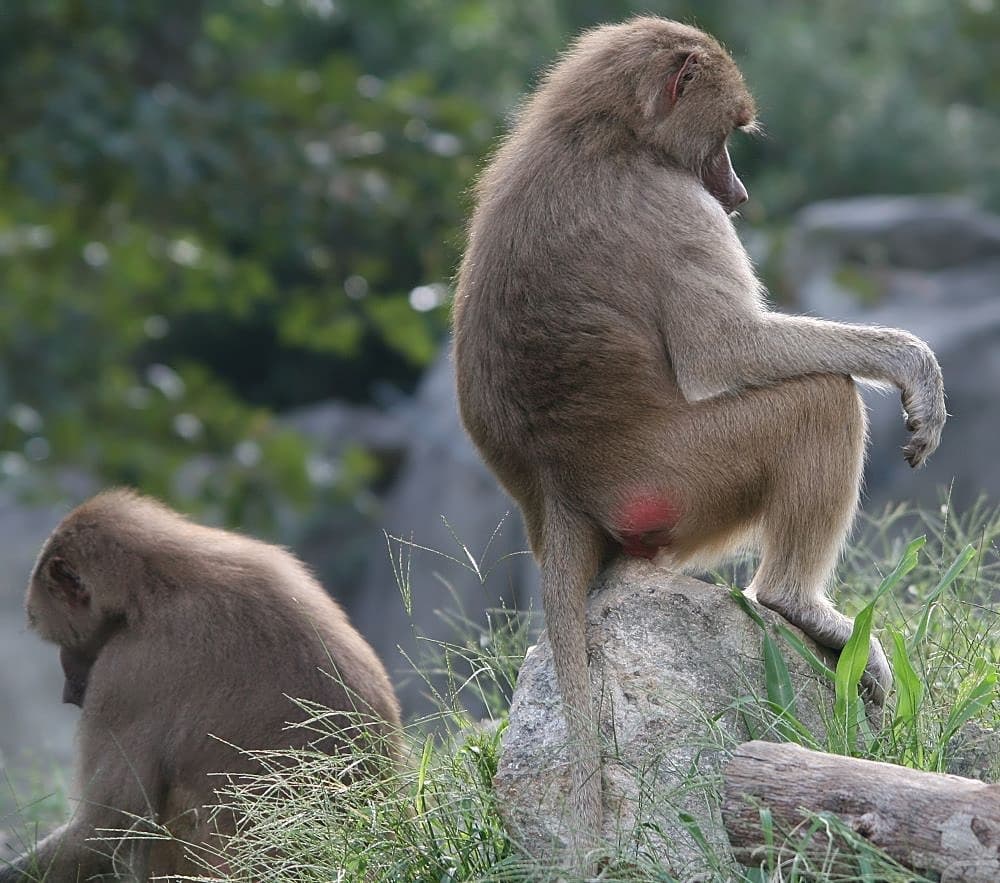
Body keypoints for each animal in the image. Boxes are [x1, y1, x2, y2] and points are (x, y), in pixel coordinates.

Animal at [452, 16, 945, 854]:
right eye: (726, 135)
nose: (739, 194)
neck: (602, 130)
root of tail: (557, 494)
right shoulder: (673, 202)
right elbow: (726, 350)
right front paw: (911, 363)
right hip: (682, 474)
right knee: (819, 400)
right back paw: (797, 603)